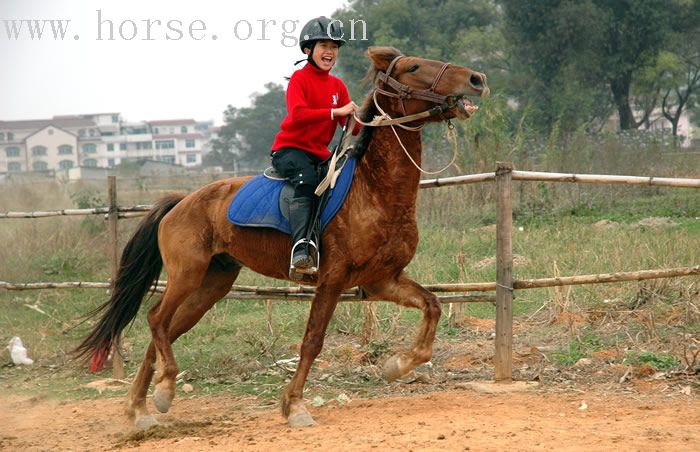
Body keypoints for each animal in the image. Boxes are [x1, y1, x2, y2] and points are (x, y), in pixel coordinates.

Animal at [76, 46, 486, 430]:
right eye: (414, 67)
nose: (476, 79)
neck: (374, 190)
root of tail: (181, 202)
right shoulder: (332, 280)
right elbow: (312, 341)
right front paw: (296, 406)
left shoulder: (382, 281)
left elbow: (432, 305)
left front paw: (397, 365)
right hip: (186, 275)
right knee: (156, 318)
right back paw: (163, 391)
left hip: (212, 285)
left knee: (164, 331)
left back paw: (140, 408)